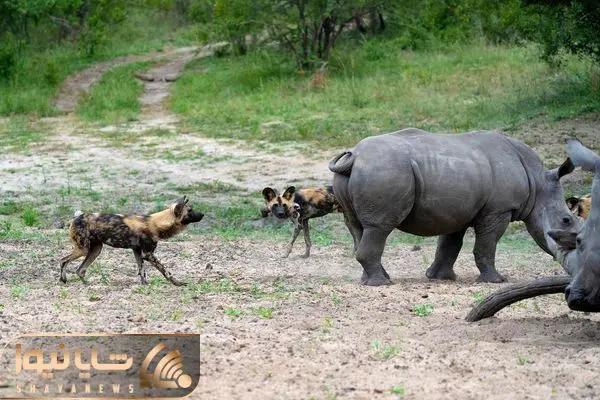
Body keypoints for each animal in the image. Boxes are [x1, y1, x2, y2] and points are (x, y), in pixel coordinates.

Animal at [329, 128, 580, 286]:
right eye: (566, 220)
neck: (538, 183)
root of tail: (355, 156)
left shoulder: (457, 210)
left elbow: (449, 245)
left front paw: (440, 277)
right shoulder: (498, 210)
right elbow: (487, 244)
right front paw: (496, 280)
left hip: (364, 174)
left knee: (357, 227)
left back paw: (375, 279)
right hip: (384, 170)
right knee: (379, 228)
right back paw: (381, 284)